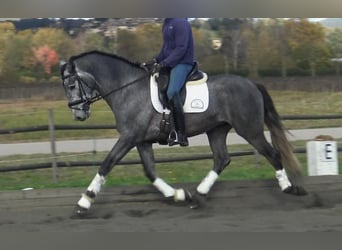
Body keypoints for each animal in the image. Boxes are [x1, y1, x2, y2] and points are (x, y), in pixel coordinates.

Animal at [60, 50, 306, 215]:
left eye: (71, 85)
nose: (78, 114)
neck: (127, 88)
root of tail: (252, 84)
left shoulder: (129, 137)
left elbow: (107, 164)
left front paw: (85, 201)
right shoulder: (141, 140)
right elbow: (150, 171)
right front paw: (177, 194)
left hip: (250, 130)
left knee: (272, 154)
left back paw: (289, 188)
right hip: (216, 130)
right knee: (222, 159)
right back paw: (197, 195)